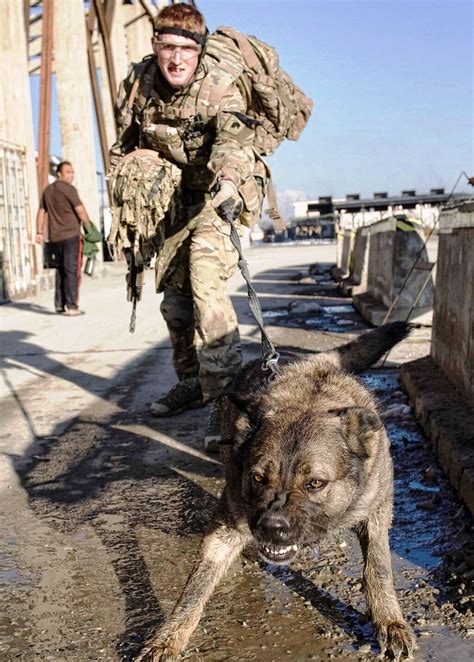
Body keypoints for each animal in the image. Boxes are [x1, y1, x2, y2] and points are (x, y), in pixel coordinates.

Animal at [137, 324, 414, 660]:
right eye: (258, 477)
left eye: (315, 483)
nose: (271, 528)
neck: (310, 397)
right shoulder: (228, 525)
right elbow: (196, 585)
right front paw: (168, 637)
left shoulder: (377, 507)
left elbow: (379, 565)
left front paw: (389, 620)